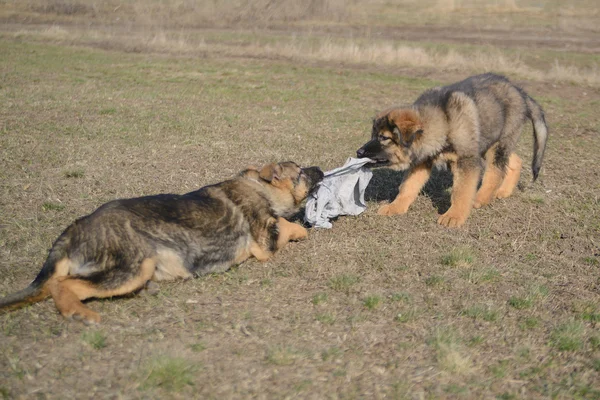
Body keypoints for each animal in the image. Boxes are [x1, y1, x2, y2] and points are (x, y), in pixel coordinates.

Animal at [0, 161, 324, 324]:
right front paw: (301, 228)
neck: (259, 186)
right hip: (134, 266)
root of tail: (77, 226)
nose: (321, 168)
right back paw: (80, 313)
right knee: (62, 284)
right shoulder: (264, 241)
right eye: (301, 171)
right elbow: (289, 225)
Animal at [356, 73, 548, 227]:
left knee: (495, 171)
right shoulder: (423, 161)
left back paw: (481, 198)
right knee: (514, 160)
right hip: (488, 141)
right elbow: (408, 185)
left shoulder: (467, 160)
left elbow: (461, 191)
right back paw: (503, 191)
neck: (443, 123)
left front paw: (454, 216)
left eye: (384, 138)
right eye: (373, 135)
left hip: (496, 143)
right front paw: (395, 207)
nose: (359, 152)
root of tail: (519, 91)